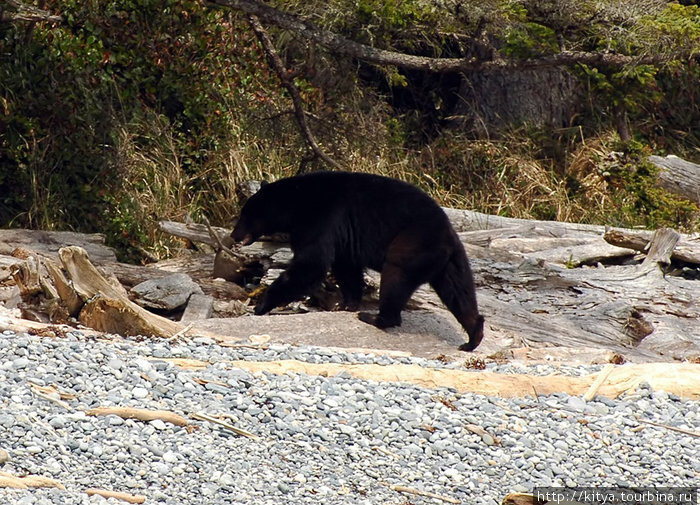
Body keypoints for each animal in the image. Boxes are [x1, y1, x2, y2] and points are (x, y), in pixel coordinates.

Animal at [232, 171, 484, 348]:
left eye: (245, 215)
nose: (233, 235)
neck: (297, 203)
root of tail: (448, 237)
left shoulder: (321, 219)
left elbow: (312, 264)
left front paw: (261, 305)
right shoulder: (343, 236)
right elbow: (347, 267)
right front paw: (346, 304)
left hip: (414, 243)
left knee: (396, 276)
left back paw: (375, 317)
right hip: (452, 262)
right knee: (459, 292)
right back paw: (473, 336)